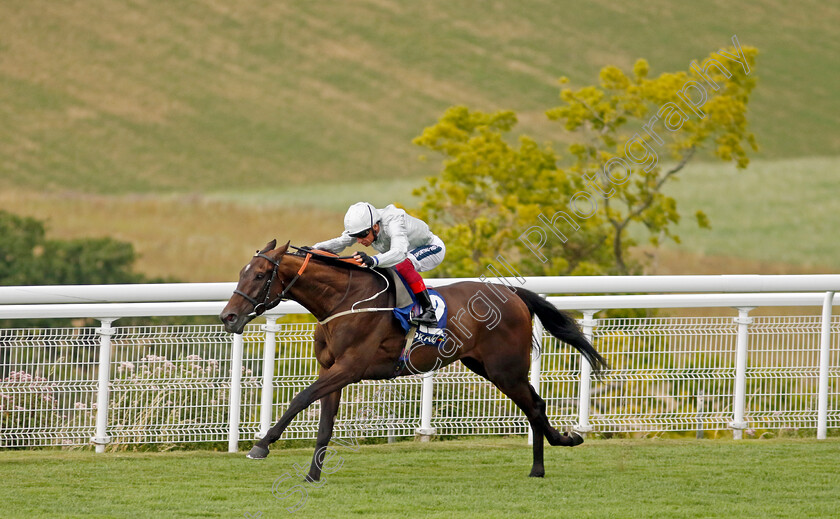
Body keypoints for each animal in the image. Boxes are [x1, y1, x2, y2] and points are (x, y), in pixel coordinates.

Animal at [220, 240, 608, 480]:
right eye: (240, 273)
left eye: (259, 275)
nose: (228, 317)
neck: (344, 301)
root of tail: (512, 293)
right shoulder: (332, 369)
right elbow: (325, 424)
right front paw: (312, 476)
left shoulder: (349, 368)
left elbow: (300, 399)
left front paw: (261, 446)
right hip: (487, 367)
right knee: (533, 406)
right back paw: (543, 462)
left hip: (506, 369)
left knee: (535, 406)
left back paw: (559, 447)